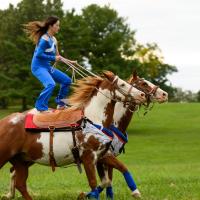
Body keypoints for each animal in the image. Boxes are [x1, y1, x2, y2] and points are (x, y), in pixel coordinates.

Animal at [0, 71, 146, 199]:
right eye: (122, 84)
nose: (142, 94)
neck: (93, 119)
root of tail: (4, 122)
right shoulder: (88, 158)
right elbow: (94, 184)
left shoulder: (102, 156)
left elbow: (115, 174)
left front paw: (135, 192)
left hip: (22, 161)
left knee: (20, 184)